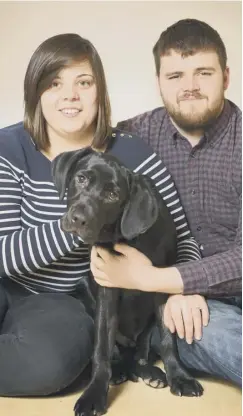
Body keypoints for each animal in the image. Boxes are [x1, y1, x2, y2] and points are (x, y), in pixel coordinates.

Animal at [51, 149, 203, 416]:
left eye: (113, 195)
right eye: (81, 178)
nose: (78, 218)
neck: (126, 238)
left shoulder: (162, 286)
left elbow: (167, 339)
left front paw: (179, 376)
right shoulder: (107, 290)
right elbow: (101, 348)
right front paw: (94, 392)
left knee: (140, 352)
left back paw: (149, 372)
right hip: (85, 290)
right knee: (117, 352)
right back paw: (119, 371)